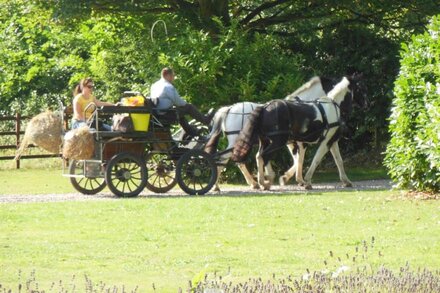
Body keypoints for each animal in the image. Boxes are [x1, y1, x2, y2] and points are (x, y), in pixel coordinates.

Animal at [205, 76, 348, 189]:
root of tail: (229, 109)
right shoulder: (297, 143)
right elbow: (299, 160)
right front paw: (293, 179)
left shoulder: (290, 142)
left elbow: (296, 160)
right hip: (236, 141)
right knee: (225, 160)